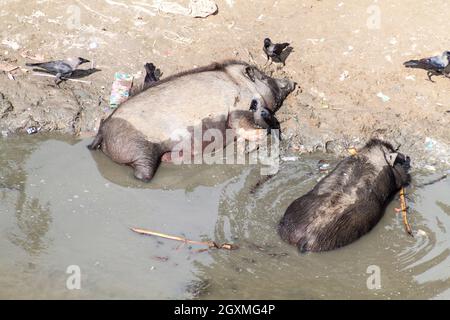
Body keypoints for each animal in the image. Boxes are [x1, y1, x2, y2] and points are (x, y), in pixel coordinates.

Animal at [89, 60, 298, 180]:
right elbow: (253, 130)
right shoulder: (238, 111)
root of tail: (102, 131)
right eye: (265, 77)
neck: (241, 83)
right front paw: (248, 148)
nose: (291, 82)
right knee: (143, 175)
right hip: (140, 148)